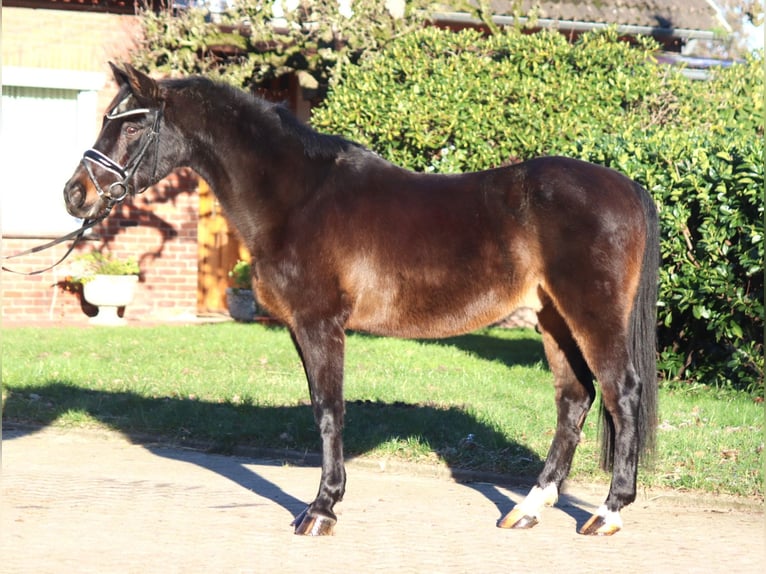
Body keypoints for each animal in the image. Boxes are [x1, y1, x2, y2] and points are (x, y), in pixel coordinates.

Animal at [63, 65, 660, 536]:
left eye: (132, 122)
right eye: (109, 117)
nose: (75, 194)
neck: (298, 197)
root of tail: (627, 186)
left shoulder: (321, 324)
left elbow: (329, 412)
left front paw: (321, 510)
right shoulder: (301, 328)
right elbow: (321, 409)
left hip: (591, 315)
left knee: (621, 394)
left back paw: (608, 512)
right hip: (553, 319)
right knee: (574, 400)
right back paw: (529, 508)